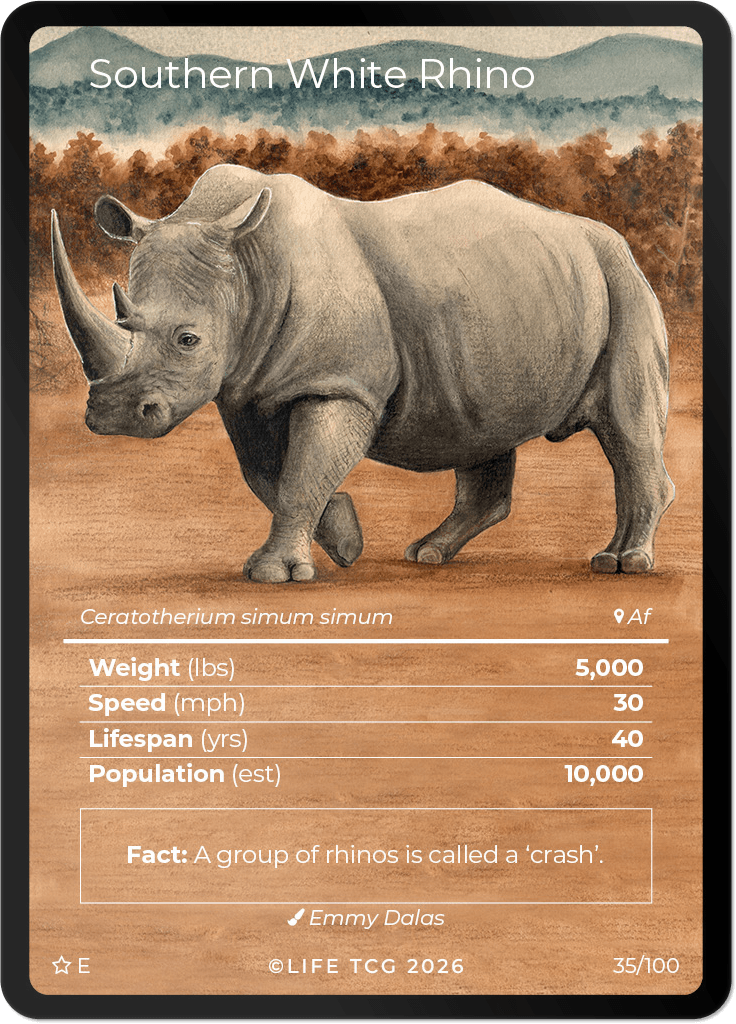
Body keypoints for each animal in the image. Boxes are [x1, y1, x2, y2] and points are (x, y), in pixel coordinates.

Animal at [51, 165, 673, 582]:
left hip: (623, 281)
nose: (115, 416)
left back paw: (622, 564)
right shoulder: (244, 390)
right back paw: (427, 554)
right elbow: (267, 474)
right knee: (483, 426)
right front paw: (345, 540)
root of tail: (610, 239)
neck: (247, 269)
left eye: (188, 340)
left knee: (628, 427)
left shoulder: (338, 382)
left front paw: (275, 574)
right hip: (512, 302)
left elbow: (301, 469)